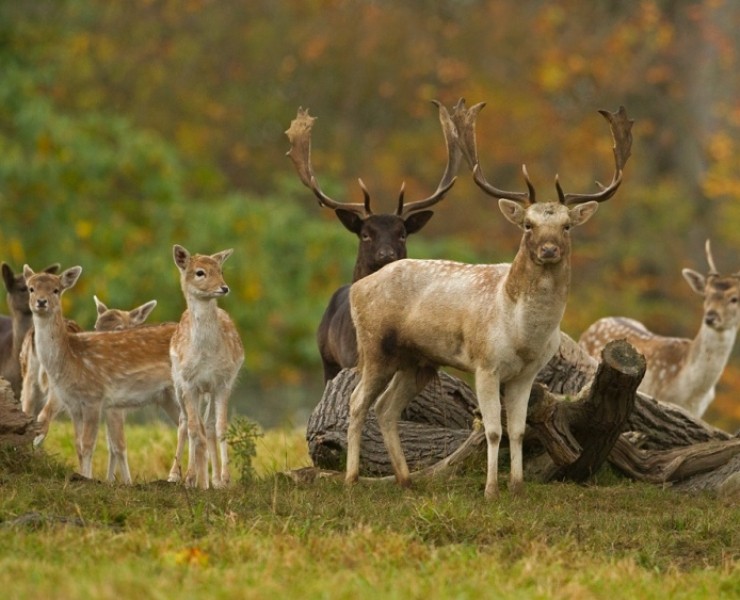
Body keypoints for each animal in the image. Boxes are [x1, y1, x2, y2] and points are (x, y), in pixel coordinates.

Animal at [24, 264, 182, 483]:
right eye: (30, 288)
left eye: (56, 290)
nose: (41, 301)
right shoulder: (78, 405)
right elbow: (83, 444)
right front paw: (96, 478)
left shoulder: (97, 399)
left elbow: (100, 444)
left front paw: (102, 480)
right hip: (167, 396)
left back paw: (181, 477)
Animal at [169, 245, 244, 489]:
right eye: (200, 272)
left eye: (221, 270)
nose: (224, 287)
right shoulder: (189, 383)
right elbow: (194, 429)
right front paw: (194, 479)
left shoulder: (223, 382)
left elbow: (219, 427)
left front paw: (224, 479)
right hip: (177, 384)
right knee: (184, 422)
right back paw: (177, 475)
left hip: (208, 390)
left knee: (207, 425)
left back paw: (213, 478)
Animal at [344, 101, 633, 499]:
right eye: (527, 224)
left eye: (566, 226)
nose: (548, 249)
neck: (524, 334)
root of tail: (356, 288)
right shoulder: (485, 364)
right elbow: (494, 430)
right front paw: (491, 489)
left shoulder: (527, 373)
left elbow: (519, 430)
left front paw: (517, 486)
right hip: (374, 347)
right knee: (357, 402)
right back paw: (351, 479)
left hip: (417, 360)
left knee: (386, 408)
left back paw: (405, 480)